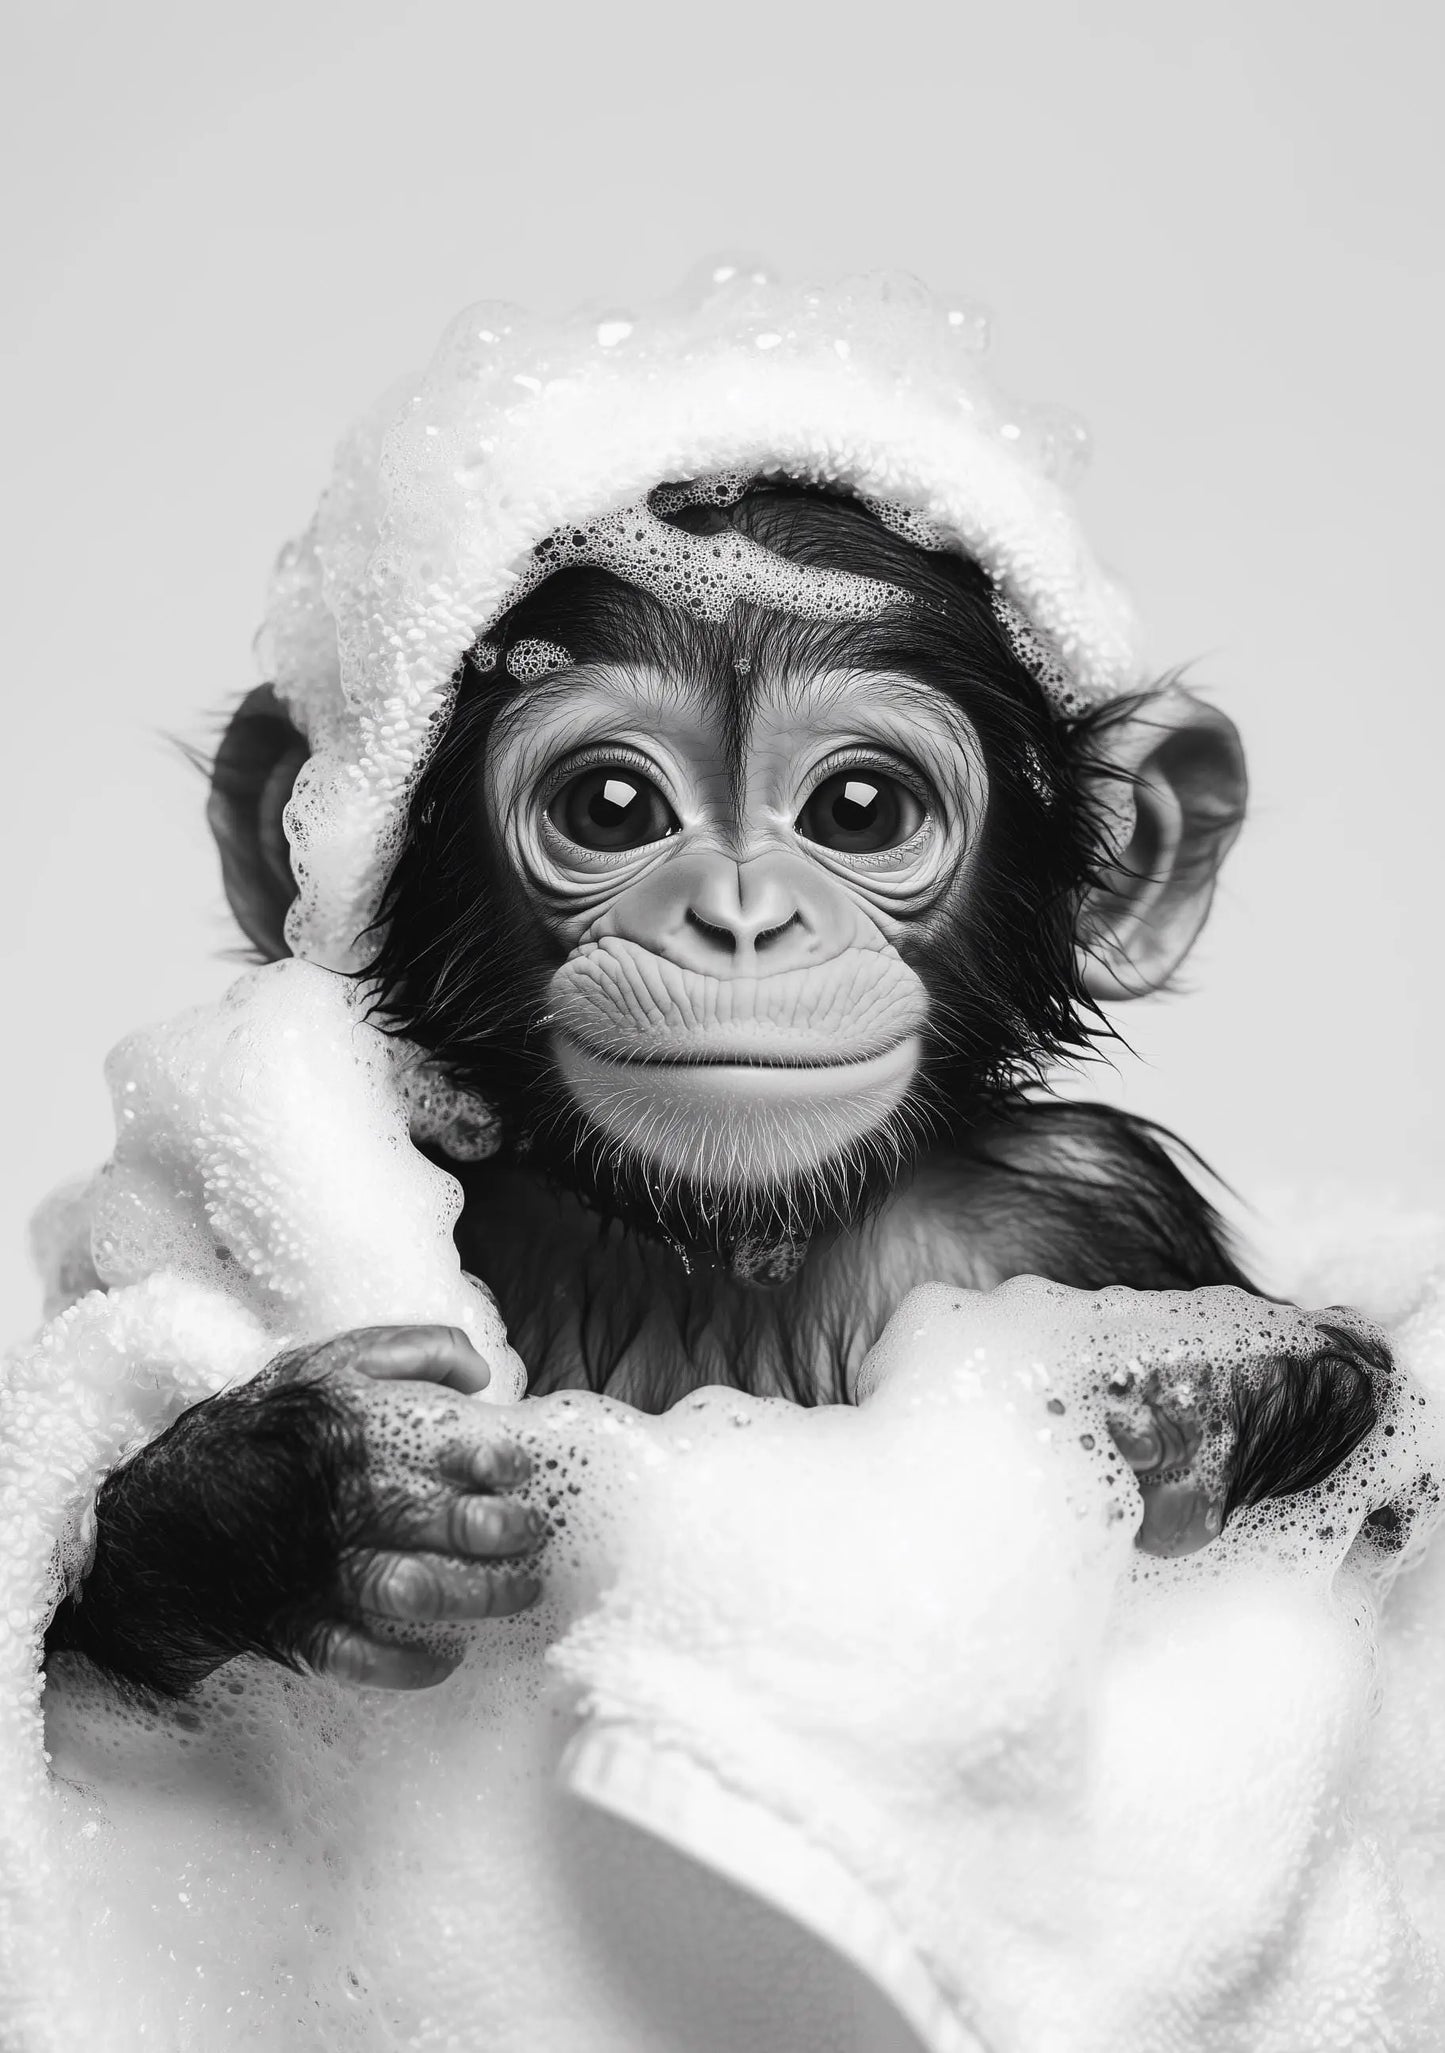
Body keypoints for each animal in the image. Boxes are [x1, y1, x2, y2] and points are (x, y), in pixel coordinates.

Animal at [44, 483, 1387, 1701]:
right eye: (610, 807)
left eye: (859, 809)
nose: (741, 920)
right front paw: (311, 1490)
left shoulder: (1099, 1204)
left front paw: (1206, 1395)